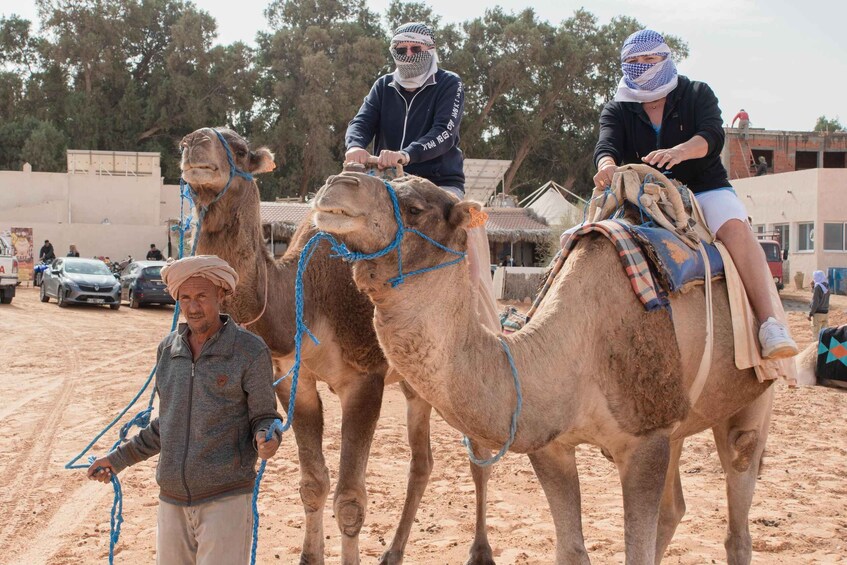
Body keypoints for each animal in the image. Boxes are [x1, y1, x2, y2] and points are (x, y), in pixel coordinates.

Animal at [179, 128, 494, 565]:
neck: (301, 300)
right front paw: (309, 557)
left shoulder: (364, 379)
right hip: (416, 383)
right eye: (190, 141)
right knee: (422, 463)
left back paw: (480, 552)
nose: (194, 142)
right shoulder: (291, 378)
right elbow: (313, 484)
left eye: (239, 149)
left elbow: (349, 499)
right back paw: (393, 552)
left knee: (477, 454)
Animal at [313, 171, 778, 565]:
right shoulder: (552, 446)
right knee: (675, 507)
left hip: (753, 397)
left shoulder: (645, 440)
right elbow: (571, 550)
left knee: (739, 496)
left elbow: (637, 552)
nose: (337, 183)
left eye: (413, 208)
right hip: (678, 420)